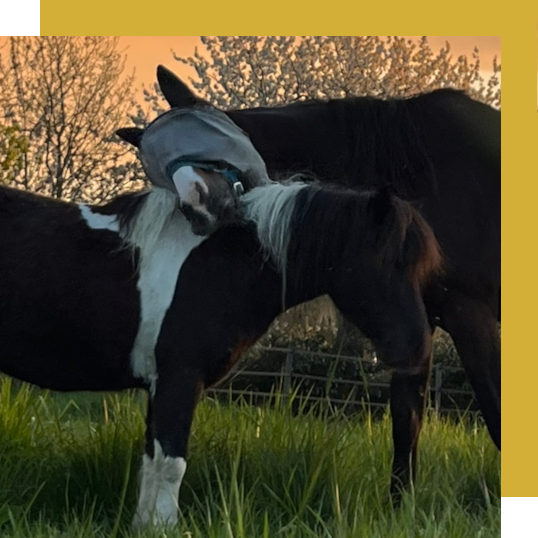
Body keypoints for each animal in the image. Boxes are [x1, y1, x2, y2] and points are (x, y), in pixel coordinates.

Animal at [0, 171, 441, 524]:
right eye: (387, 261)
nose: (418, 348)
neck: (219, 266)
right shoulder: (180, 379)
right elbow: (171, 464)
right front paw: (164, 527)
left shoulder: (161, 385)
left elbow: (151, 462)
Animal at [117, 65, 501, 498]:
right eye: (158, 169)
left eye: (204, 135)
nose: (200, 204)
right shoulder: (413, 324)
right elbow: (406, 427)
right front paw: (402, 506)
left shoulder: (468, 313)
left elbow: (496, 414)